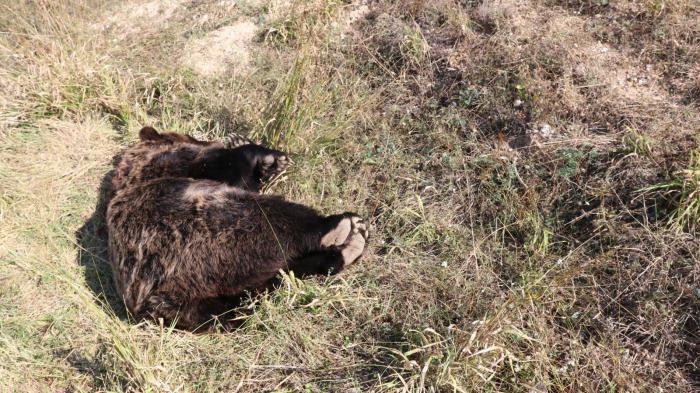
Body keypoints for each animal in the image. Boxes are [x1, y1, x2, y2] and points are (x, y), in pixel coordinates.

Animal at [105, 127, 366, 330]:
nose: (202, 138)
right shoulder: (180, 166)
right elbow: (229, 170)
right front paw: (264, 155)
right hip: (203, 234)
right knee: (276, 223)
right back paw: (341, 228)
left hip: (213, 288)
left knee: (262, 287)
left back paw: (345, 249)